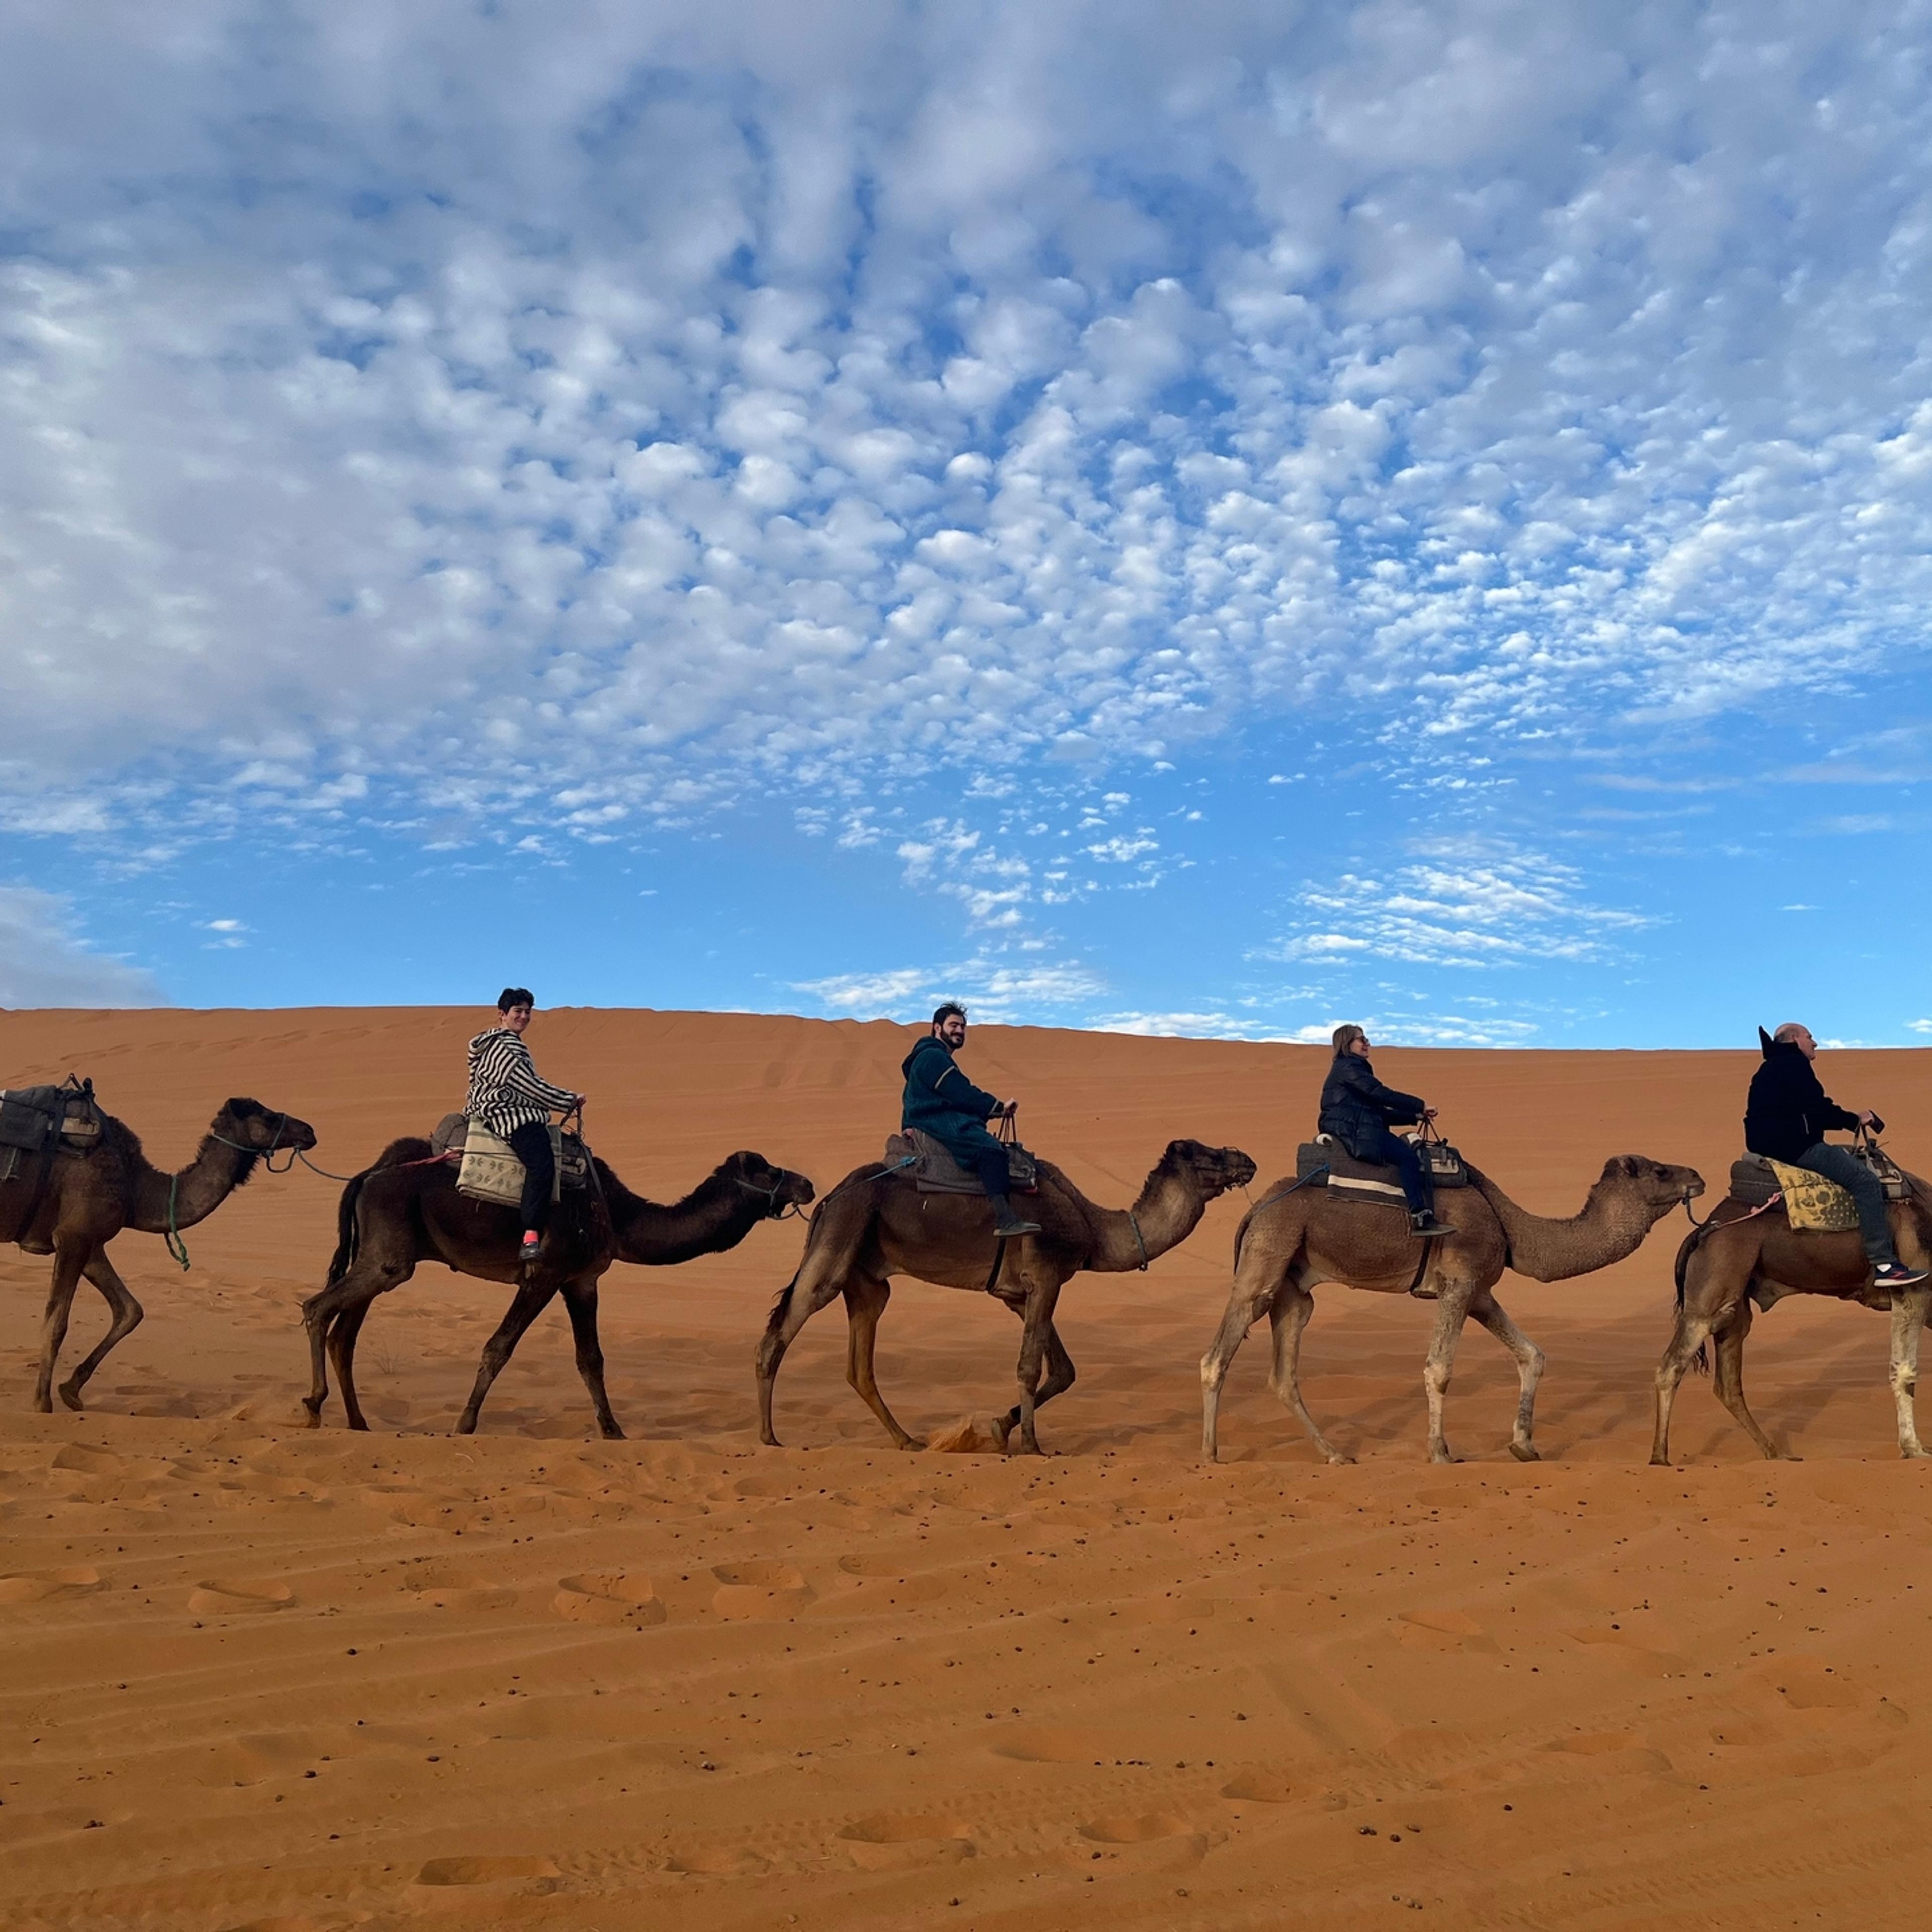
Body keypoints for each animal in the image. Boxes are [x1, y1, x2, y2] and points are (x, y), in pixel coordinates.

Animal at [2, 1097, 319, 1413]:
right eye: (269, 1118)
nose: (310, 1132)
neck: (134, 1185)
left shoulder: (91, 1244)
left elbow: (130, 1311)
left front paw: (71, 1390)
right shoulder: (72, 1237)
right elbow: (56, 1323)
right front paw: (42, 1404)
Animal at [302, 1139, 814, 1438]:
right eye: (770, 1171)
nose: (807, 1184)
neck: (615, 1214)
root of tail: (365, 1177)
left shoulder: (581, 1281)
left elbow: (591, 1360)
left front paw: (613, 1431)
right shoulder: (544, 1273)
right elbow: (498, 1347)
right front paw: (465, 1424)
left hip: (380, 1258)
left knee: (343, 1335)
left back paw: (358, 1422)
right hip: (389, 1260)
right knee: (316, 1306)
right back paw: (313, 1406)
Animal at [756, 1138, 1257, 1455]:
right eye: (1208, 1155)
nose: (1247, 1160)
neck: (1094, 1228)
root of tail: (830, 1198)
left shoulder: (1019, 1293)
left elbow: (1063, 1371)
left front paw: (998, 1428)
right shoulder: (1047, 1277)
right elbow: (1030, 1366)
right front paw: (1033, 1446)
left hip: (867, 1282)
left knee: (860, 1365)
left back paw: (908, 1440)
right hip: (839, 1242)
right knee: (778, 1334)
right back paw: (768, 1436)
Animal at [1200, 1154, 1704, 1465]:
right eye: (1660, 1171)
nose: (1698, 1177)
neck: (1512, 1227)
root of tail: (1258, 1208)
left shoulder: (1479, 1292)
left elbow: (1532, 1355)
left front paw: (1524, 1445)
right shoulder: (1458, 1283)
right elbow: (1438, 1369)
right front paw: (1441, 1452)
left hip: (1293, 1288)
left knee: (1284, 1373)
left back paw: (1336, 1454)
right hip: (1267, 1256)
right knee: (1216, 1356)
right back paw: (1210, 1453)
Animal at [1650, 1178, 1932, 1463]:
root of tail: (1704, 1230)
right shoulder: (1914, 1291)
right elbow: (1905, 1371)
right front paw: (1914, 1449)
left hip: (1734, 1305)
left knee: (1727, 1383)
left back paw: (1775, 1454)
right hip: (1713, 1288)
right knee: (1672, 1365)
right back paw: (1660, 1458)